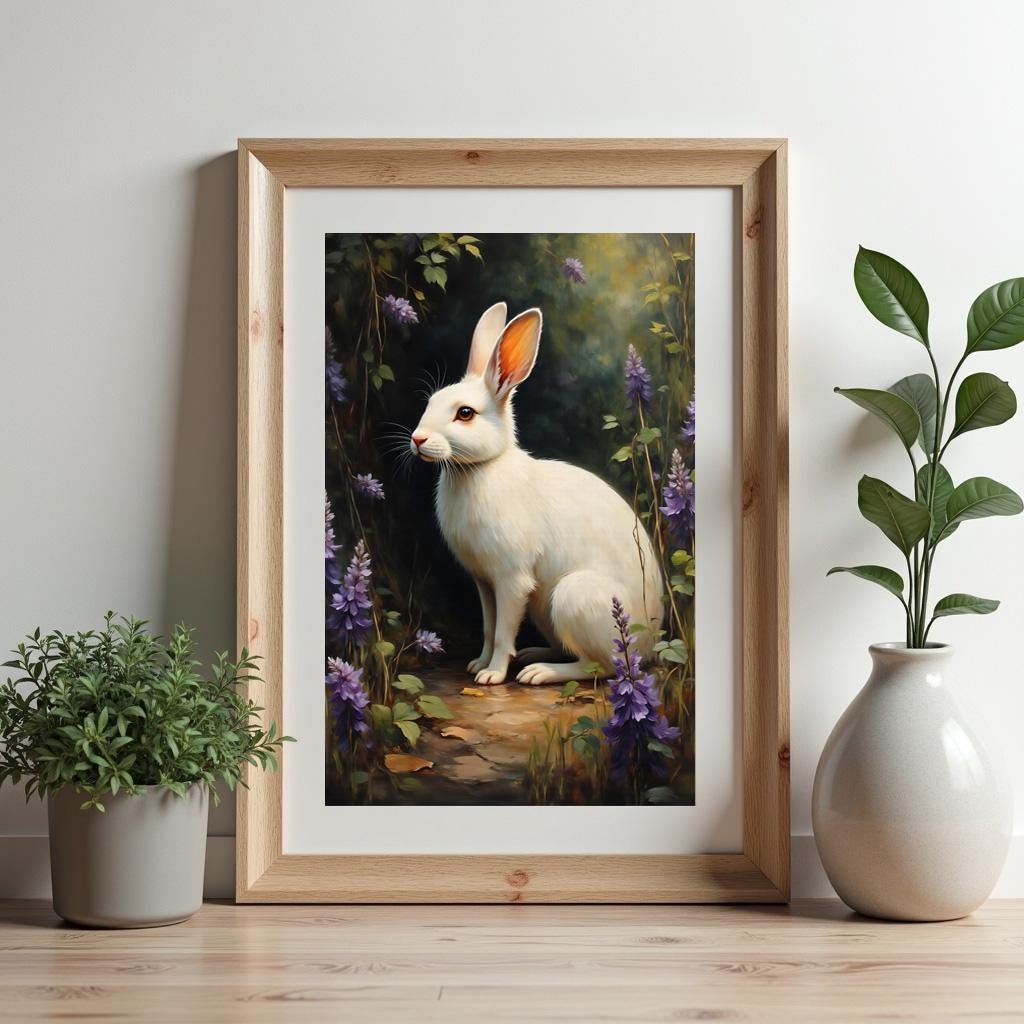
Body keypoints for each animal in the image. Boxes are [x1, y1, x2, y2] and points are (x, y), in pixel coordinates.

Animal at [410, 301, 665, 685]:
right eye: (431, 401)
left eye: (465, 413)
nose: (417, 439)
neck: (481, 468)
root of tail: (649, 646)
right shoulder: (485, 583)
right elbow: (489, 628)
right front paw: (477, 665)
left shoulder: (512, 579)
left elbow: (503, 631)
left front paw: (492, 676)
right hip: (546, 609)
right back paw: (533, 654)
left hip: (574, 599)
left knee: (602, 666)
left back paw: (538, 672)